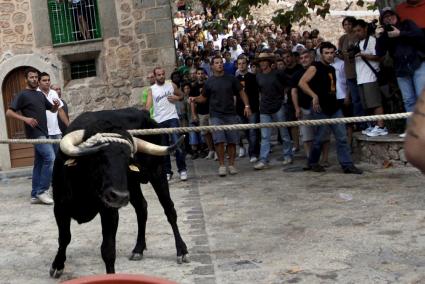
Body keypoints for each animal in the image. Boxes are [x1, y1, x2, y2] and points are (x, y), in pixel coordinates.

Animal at [49, 107, 187, 278]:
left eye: (128, 160)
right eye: (97, 156)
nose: (119, 196)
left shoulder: (110, 211)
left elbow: (108, 250)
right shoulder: (60, 207)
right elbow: (64, 238)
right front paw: (57, 265)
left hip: (157, 172)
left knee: (169, 210)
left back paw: (181, 250)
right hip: (132, 185)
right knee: (142, 207)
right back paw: (138, 249)